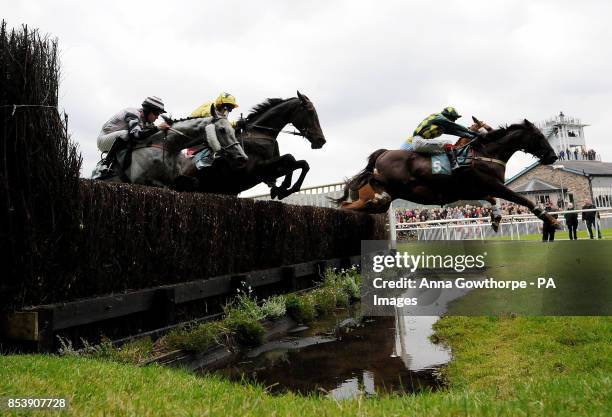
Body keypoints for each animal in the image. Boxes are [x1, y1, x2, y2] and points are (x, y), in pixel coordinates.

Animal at [180, 92, 328, 198]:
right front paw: (284, 187)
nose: (321, 140)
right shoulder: (255, 169)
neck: (260, 133)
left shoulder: (267, 172)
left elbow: (302, 163)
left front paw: (282, 189)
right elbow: (290, 158)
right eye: (310, 111)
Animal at [334, 117, 560, 228]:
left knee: (354, 206)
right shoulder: (493, 185)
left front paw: (496, 219)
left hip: (385, 199)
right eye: (540, 137)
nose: (553, 156)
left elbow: (493, 200)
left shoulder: (474, 190)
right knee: (372, 179)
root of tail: (385, 152)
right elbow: (524, 200)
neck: (485, 154)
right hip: (392, 181)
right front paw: (553, 221)